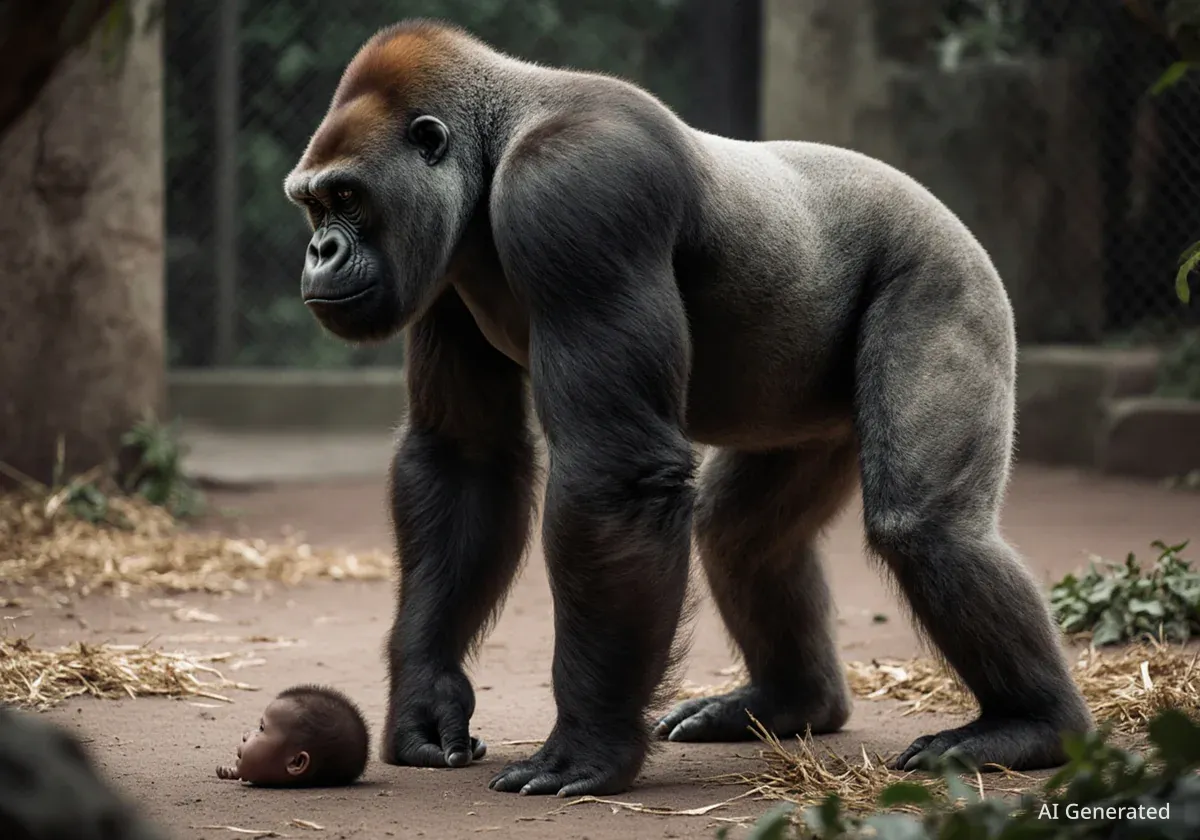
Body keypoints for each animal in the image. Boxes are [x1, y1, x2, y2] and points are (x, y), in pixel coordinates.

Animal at [282, 19, 1094, 797]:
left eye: (347, 198)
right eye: (313, 204)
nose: (319, 251)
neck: (496, 142)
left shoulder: (580, 188)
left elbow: (616, 474)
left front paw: (590, 743)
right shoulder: (444, 266)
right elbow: (464, 455)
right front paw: (425, 696)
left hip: (946, 275)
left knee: (927, 529)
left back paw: (1032, 725)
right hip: (812, 409)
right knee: (741, 532)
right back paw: (792, 701)